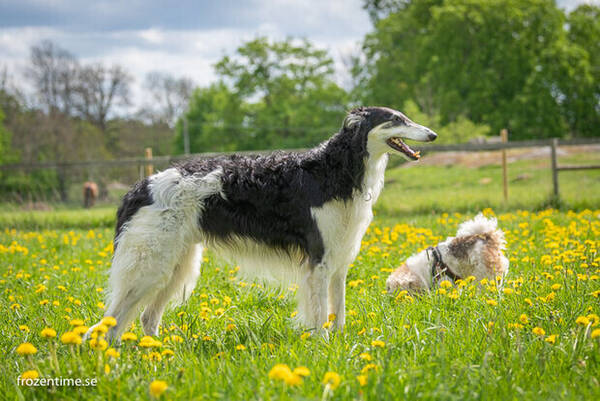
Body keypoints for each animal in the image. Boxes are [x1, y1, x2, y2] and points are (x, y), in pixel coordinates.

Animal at [88, 104, 436, 340]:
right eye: (395, 119)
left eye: (404, 116)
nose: (432, 134)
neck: (334, 171)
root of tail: (140, 186)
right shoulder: (319, 261)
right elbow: (321, 314)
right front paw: (323, 346)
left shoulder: (339, 260)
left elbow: (338, 312)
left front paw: (339, 344)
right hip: (151, 266)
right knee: (110, 324)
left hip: (178, 266)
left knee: (147, 318)